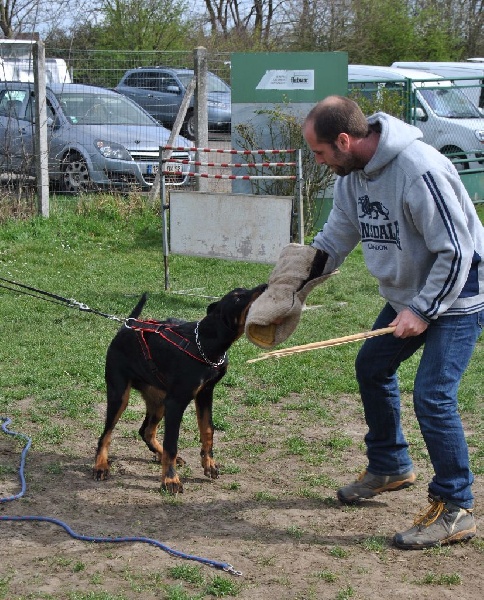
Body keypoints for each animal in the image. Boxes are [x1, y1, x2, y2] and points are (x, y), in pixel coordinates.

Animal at [92, 284, 266, 494]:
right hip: (120, 394)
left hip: (159, 400)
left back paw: (158, 455)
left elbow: (208, 430)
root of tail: (126, 326)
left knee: (146, 431)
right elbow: (171, 444)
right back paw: (101, 466)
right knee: (106, 435)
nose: (265, 286)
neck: (206, 342)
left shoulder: (205, 393)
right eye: (238, 297)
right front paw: (170, 480)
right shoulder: (176, 402)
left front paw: (209, 464)